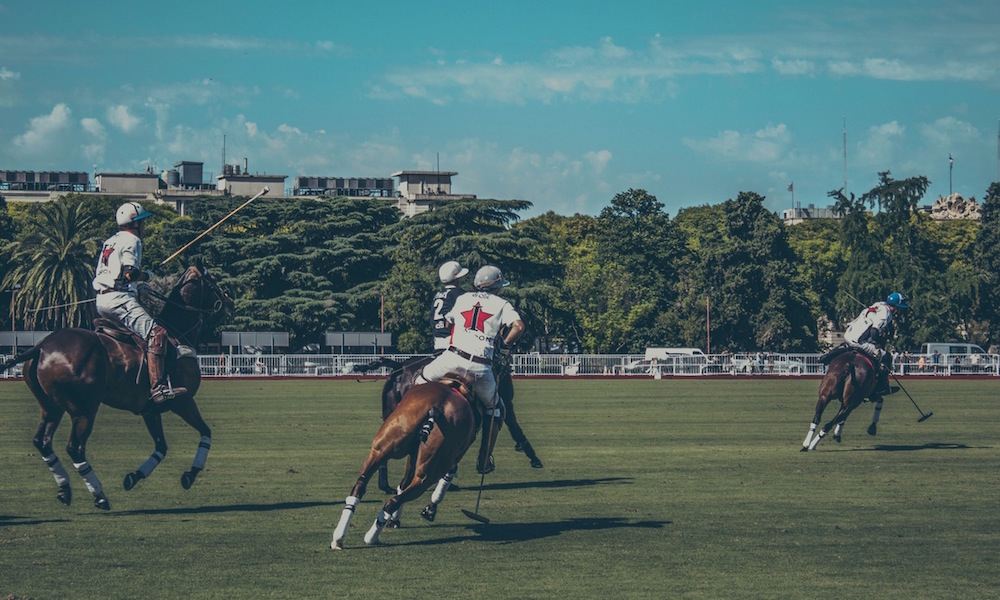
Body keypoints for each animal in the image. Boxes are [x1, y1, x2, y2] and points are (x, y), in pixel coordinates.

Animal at [0, 265, 232, 510]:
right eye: (213, 281)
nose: (229, 301)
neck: (178, 333)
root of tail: (42, 347)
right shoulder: (183, 401)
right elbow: (206, 432)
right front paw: (190, 474)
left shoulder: (150, 410)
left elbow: (161, 447)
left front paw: (133, 477)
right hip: (84, 409)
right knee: (75, 448)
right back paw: (99, 495)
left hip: (51, 406)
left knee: (42, 441)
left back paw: (65, 489)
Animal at [331, 380, 478, 549]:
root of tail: (437, 409)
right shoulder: (452, 457)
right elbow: (445, 477)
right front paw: (428, 511)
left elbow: (403, 484)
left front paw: (395, 520)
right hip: (429, 473)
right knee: (396, 499)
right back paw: (371, 537)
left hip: (381, 448)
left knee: (360, 486)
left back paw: (339, 538)